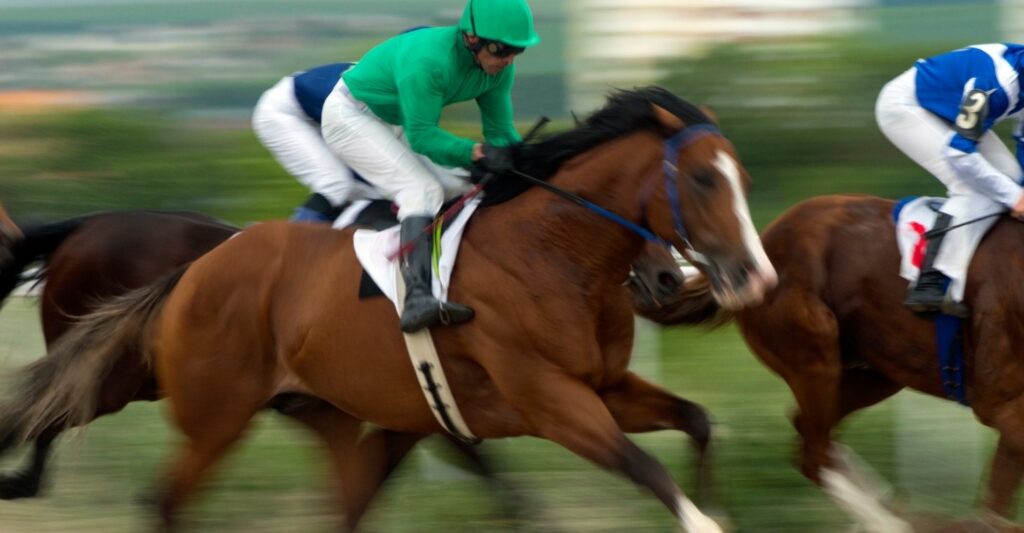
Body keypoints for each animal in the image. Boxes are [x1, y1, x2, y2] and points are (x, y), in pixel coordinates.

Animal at [0, 86, 770, 527]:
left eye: (743, 175)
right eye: (703, 179)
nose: (751, 276)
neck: (548, 253)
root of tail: (196, 270)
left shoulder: (602, 386)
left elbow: (699, 421)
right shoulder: (548, 400)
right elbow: (647, 470)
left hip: (322, 411)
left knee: (345, 504)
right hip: (201, 408)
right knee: (145, 487)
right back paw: (24, 479)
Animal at [643, 193, 1024, 527]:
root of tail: (757, 251)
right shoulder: (999, 405)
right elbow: (993, 506)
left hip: (876, 372)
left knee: (811, 434)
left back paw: (887, 503)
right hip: (814, 359)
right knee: (814, 453)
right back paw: (890, 521)